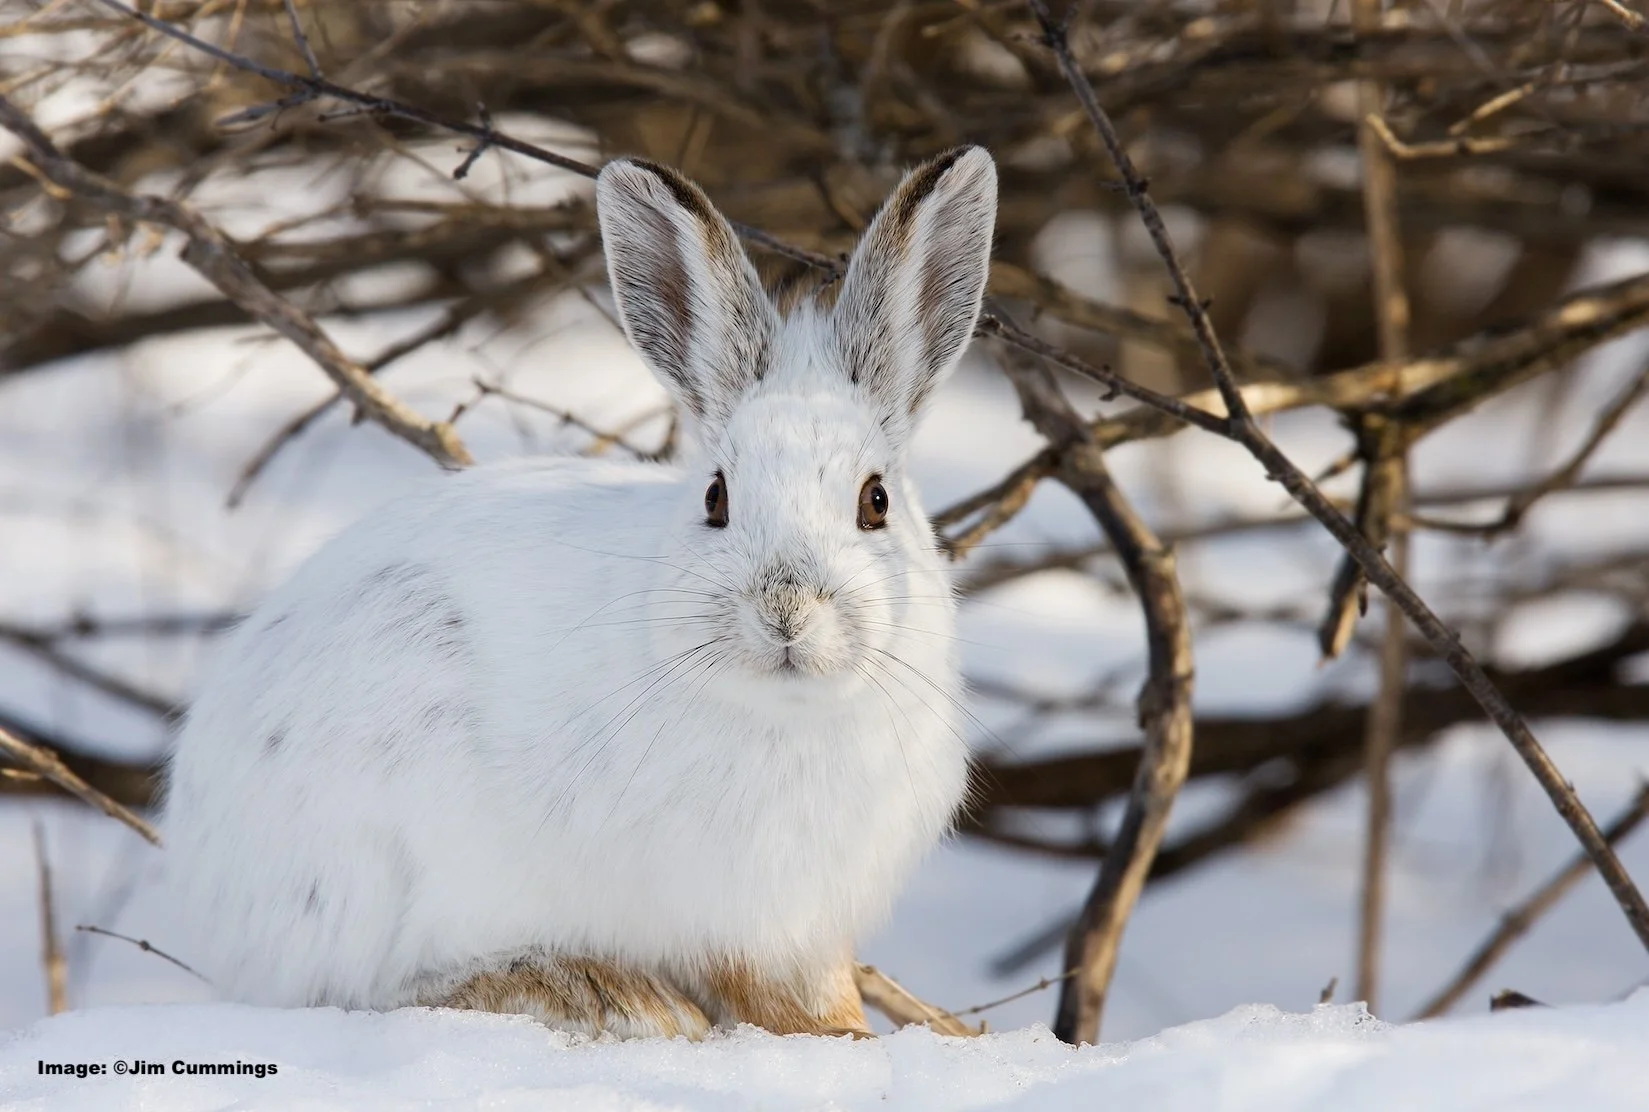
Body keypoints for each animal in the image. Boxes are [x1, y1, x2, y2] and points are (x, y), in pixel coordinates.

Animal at [160, 145, 998, 1039]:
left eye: (876, 501)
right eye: (716, 498)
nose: (785, 611)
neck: (791, 711)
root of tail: (210, 889)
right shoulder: (743, 922)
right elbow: (775, 999)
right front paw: (842, 1037)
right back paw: (597, 992)